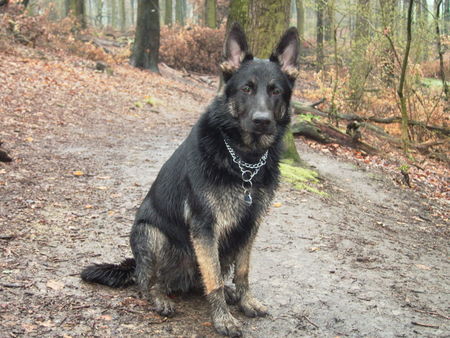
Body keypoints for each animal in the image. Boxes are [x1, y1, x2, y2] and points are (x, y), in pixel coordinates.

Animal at [81, 25, 298, 336]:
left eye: (275, 91)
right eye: (246, 88)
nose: (262, 120)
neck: (243, 160)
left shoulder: (250, 225)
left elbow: (242, 272)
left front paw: (245, 301)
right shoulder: (205, 227)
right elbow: (214, 280)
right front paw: (222, 319)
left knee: (201, 279)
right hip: (151, 234)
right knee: (147, 282)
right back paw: (160, 298)